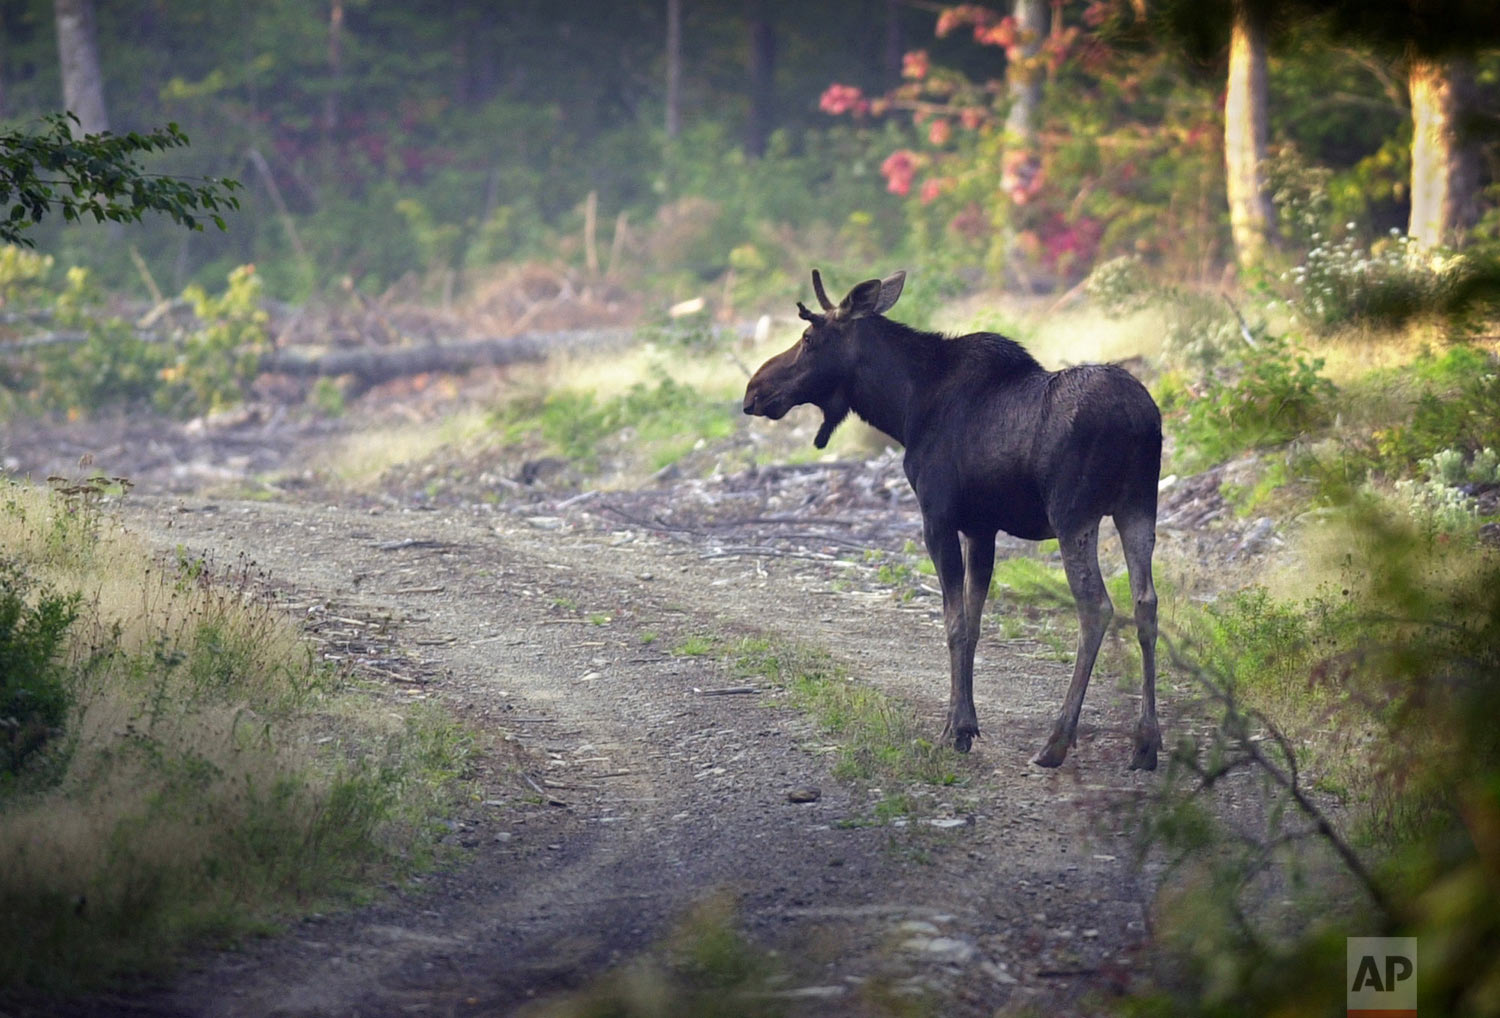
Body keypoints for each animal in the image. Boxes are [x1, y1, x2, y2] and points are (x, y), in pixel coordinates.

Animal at [744, 271, 1164, 773]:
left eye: (808, 338)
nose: (753, 390)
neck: (903, 408)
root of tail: (1140, 421)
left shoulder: (938, 517)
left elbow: (954, 623)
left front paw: (956, 729)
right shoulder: (981, 528)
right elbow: (975, 623)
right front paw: (967, 721)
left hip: (1074, 513)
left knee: (1096, 607)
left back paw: (1057, 741)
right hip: (1138, 506)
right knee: (1146, 603)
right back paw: (1146, 743)